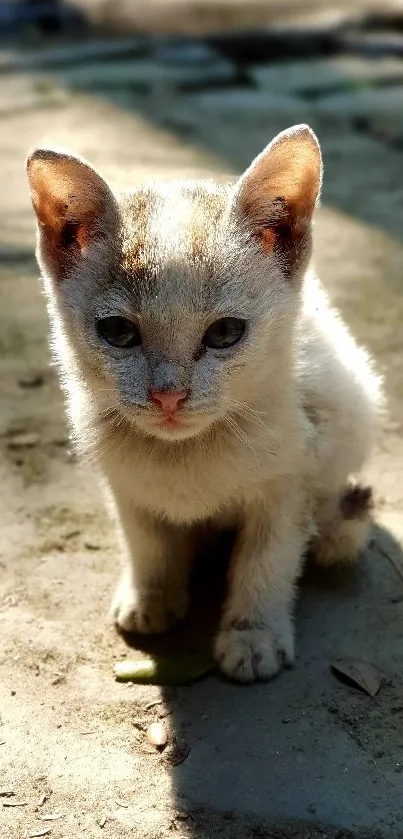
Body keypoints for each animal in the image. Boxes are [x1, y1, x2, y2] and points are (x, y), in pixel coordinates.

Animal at [27, 128, 382, 684]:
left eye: (225, 333)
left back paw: (331, 533)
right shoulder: (124, 479)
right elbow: (145, 539)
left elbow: (266, 558)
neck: (186, 454)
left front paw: (253, 632)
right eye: (118, 332)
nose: (168, 395)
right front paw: (152, 593)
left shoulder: (289, 478)